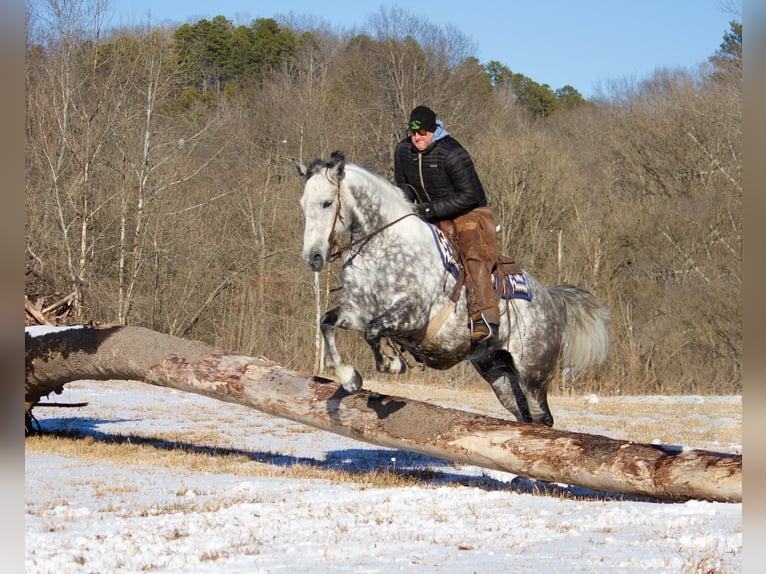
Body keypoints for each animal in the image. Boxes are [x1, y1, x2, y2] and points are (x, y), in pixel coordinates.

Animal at [296, 151, 608, 426]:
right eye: (303, 204)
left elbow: (373, 332)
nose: (313, 257)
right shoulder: (358, 309)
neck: (382, 246)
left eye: (327, 203)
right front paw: (350, 378)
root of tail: (550, 299)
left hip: (533, 373)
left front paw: (394, 364)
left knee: (543, 418)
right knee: (524, 415)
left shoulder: (412, 315)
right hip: (497, 371)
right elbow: (328, 322)